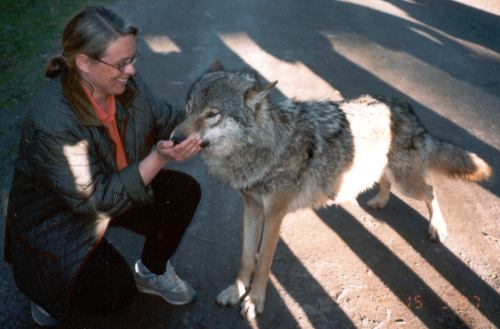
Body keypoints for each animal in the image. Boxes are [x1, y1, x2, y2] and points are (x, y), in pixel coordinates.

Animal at [172, 60, 492, 318]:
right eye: (188, 109)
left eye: (212, 114)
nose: (174, 139)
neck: (267, 146)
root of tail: (405, 106)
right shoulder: (251, 208)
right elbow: (245, 257)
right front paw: (236, 291)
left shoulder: (274, 215)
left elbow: (262, 262)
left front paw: (255, 302)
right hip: (383, 171)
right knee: (389, 182)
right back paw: (379, 201)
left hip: (407, 182)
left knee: (430, 189)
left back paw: (437, 227)